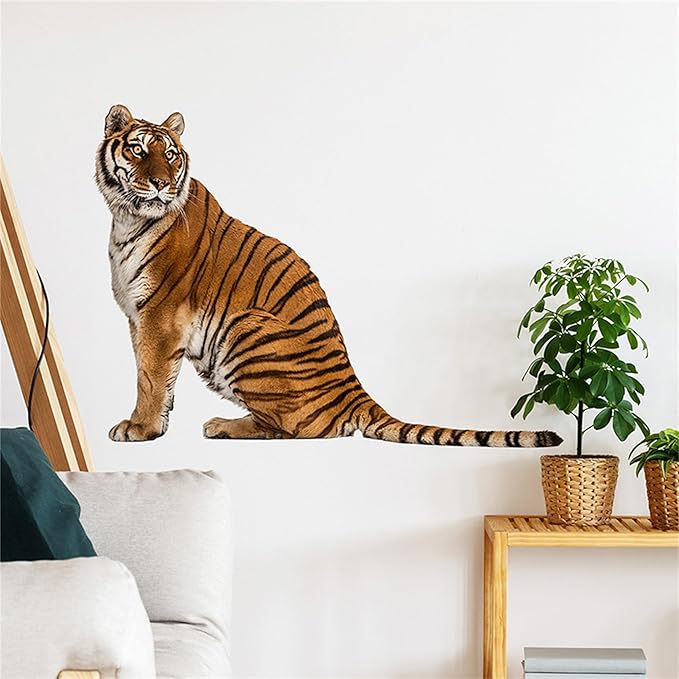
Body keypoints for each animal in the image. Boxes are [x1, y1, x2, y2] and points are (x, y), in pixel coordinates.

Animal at [95, 104, 562, 448]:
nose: (161, 183)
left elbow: (149, 377)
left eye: (171, 155)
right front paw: (156, 424)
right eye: (139, 151)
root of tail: (353, 388)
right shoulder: (138, 317)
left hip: (245, 328)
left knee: (297, 428)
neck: (127, 218)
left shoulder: (160, 315)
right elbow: (155, 377)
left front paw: (140, 429)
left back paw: (222, 425)